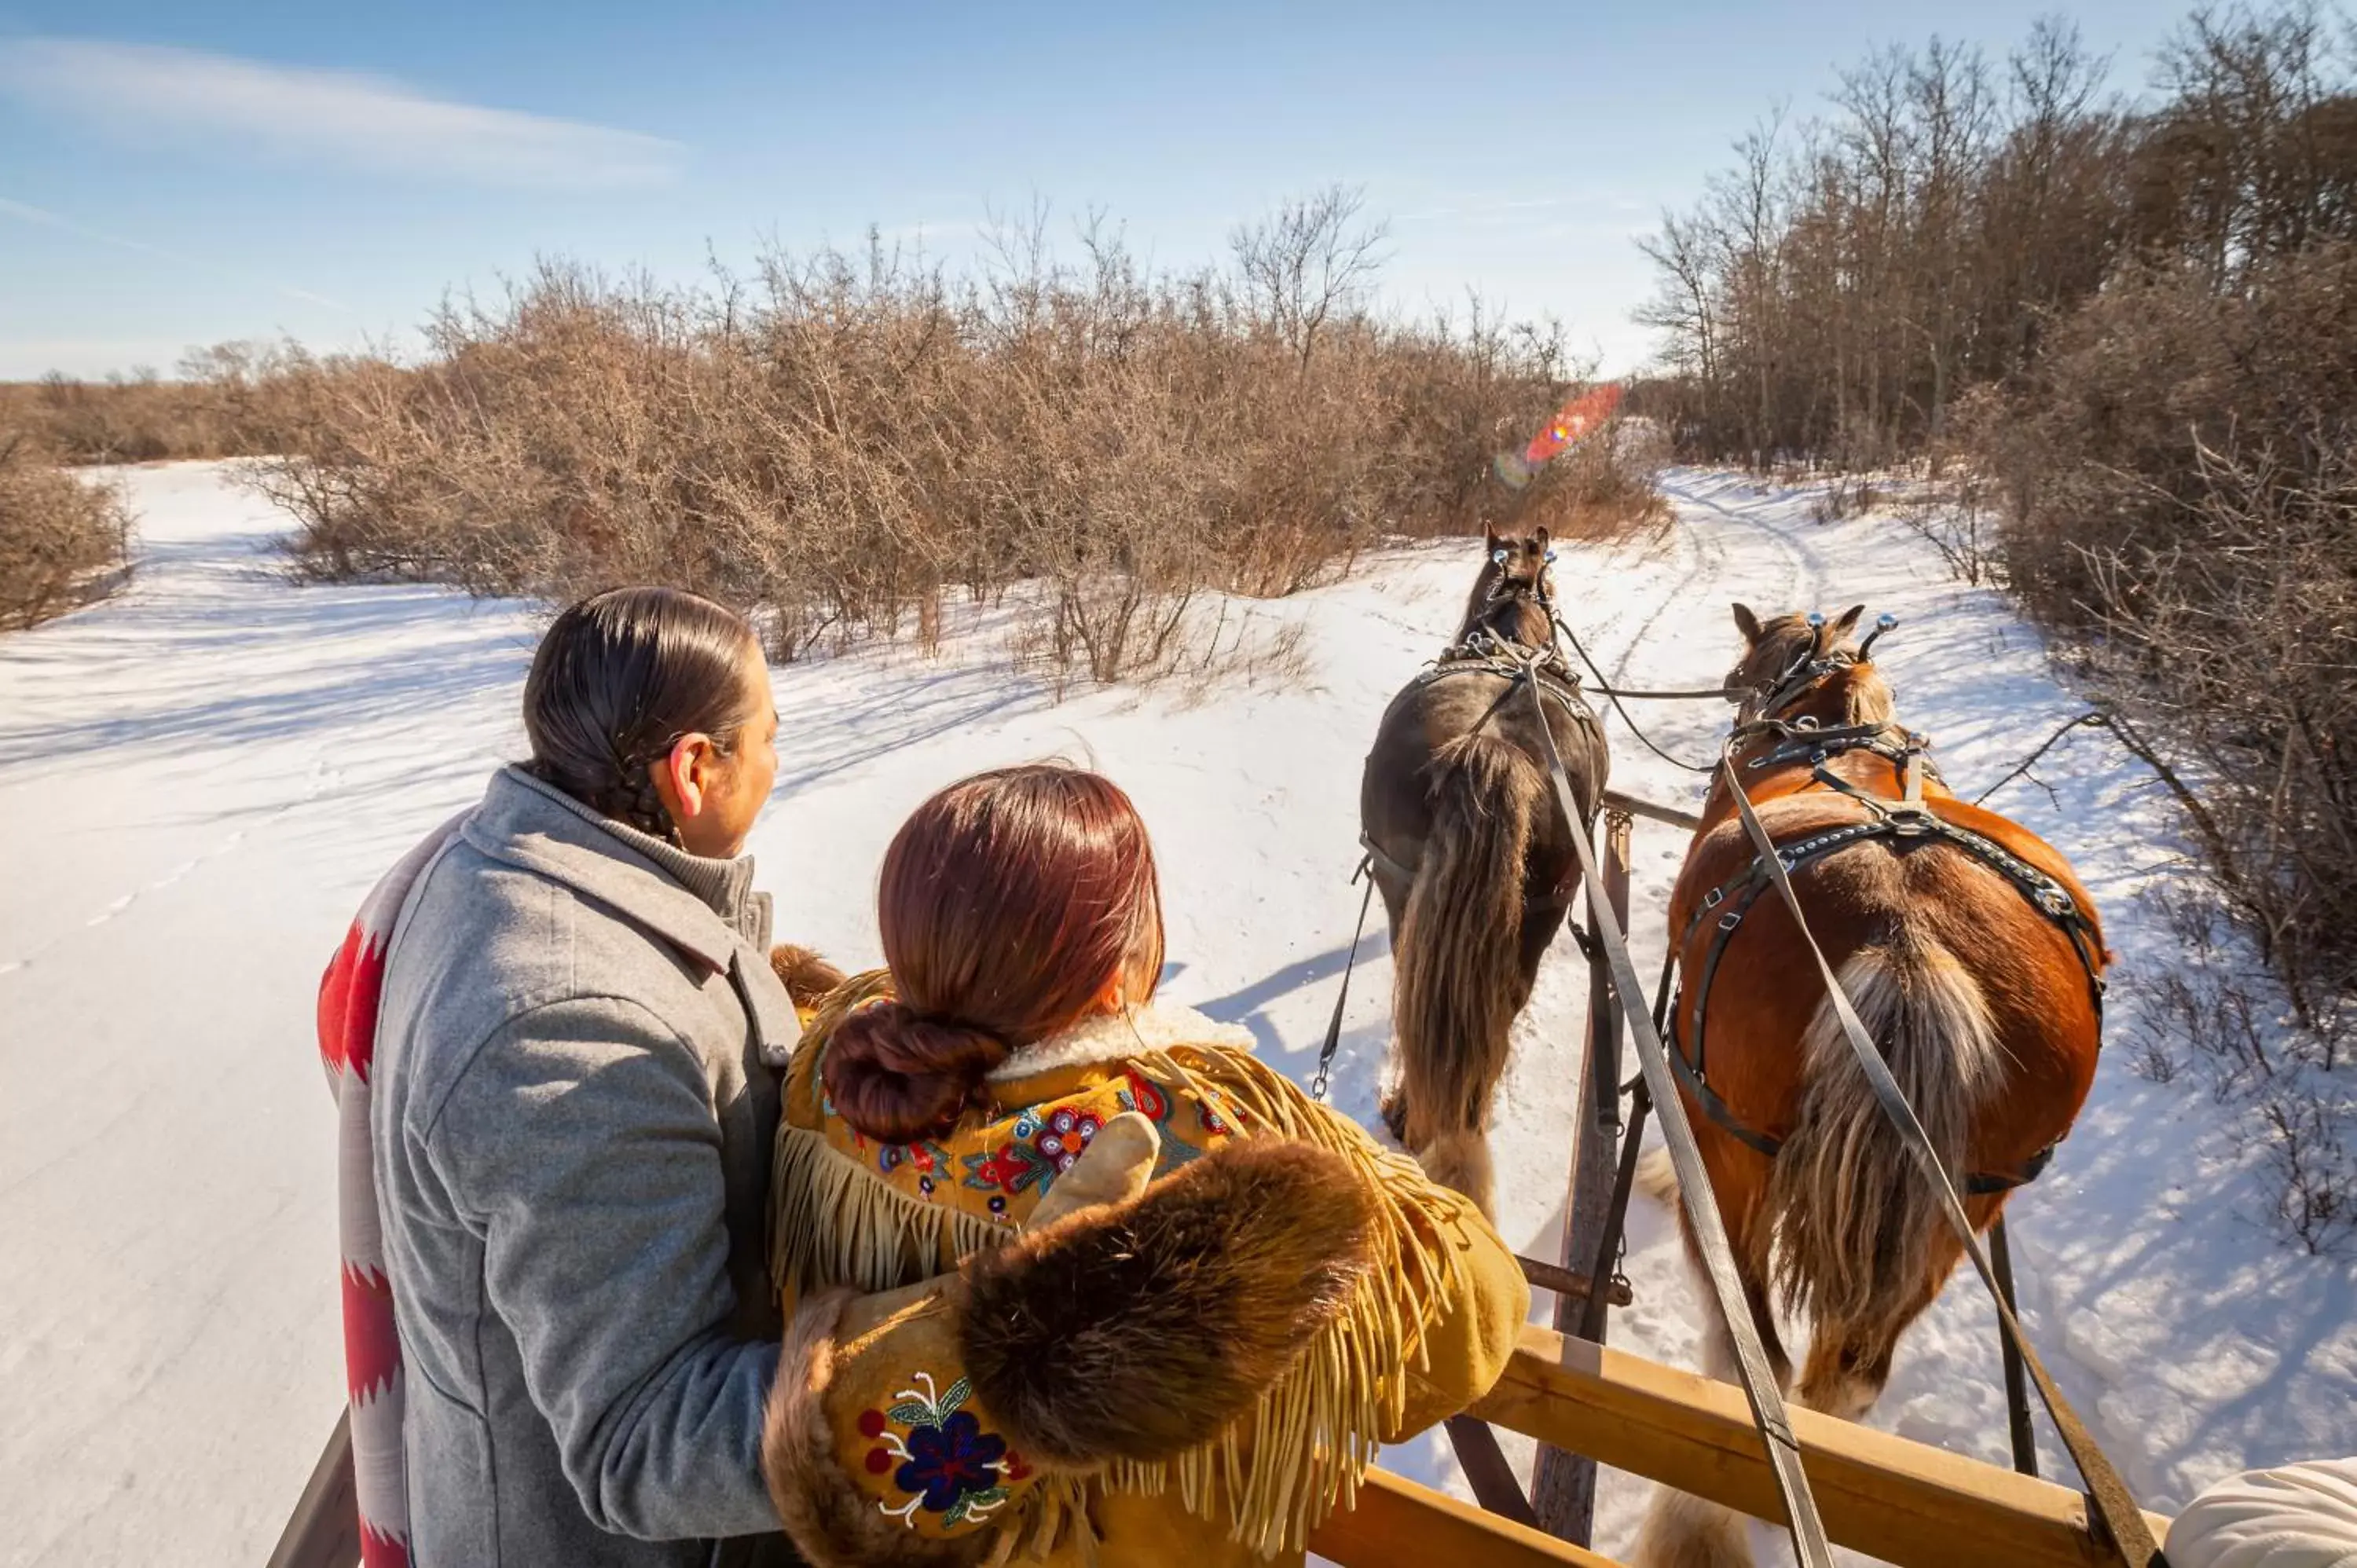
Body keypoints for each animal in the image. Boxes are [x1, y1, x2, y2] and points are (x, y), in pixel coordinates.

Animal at [1640, 599, 2121, 1565]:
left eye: (1754, 661)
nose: (1735, 693)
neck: (1833, 730)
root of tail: (1907, 934)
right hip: (1965, 1198)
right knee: (1853, 1370)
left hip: (1734, 1143)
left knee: (1753, 1343)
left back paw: (1703, 1516)